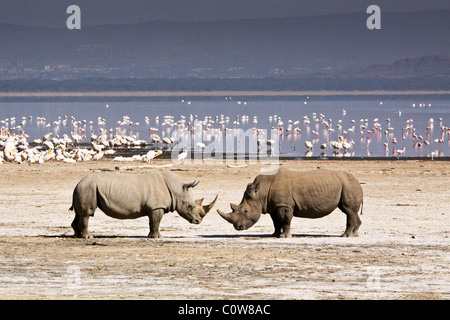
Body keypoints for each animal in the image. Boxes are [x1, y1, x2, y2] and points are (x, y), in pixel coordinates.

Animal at [68, 172, 218, 238]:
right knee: (87, 214)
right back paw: (88, 237)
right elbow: (155, 222)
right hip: (88, 187)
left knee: (79, 214)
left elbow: (153, 222)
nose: (198, 221)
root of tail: (78, 183)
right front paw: (156, 238)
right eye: (190, 206)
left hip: (85, 188)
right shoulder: (157, 207)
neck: (176, 190)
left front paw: (154, 236)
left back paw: (77, 236)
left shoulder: (154, 208)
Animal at [217, 169, 362, 236]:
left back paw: (345, 236)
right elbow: (276, 221)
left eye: (246, 211)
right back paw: (354, 234)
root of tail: (357, 181)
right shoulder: (273, 206)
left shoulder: (284, 205)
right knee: (350, 211)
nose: (238, 227)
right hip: (347, 185)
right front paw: (275, 235)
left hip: (348, 185)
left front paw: (285, 236)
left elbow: (286, 220)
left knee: (348, 211)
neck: (262, 191)